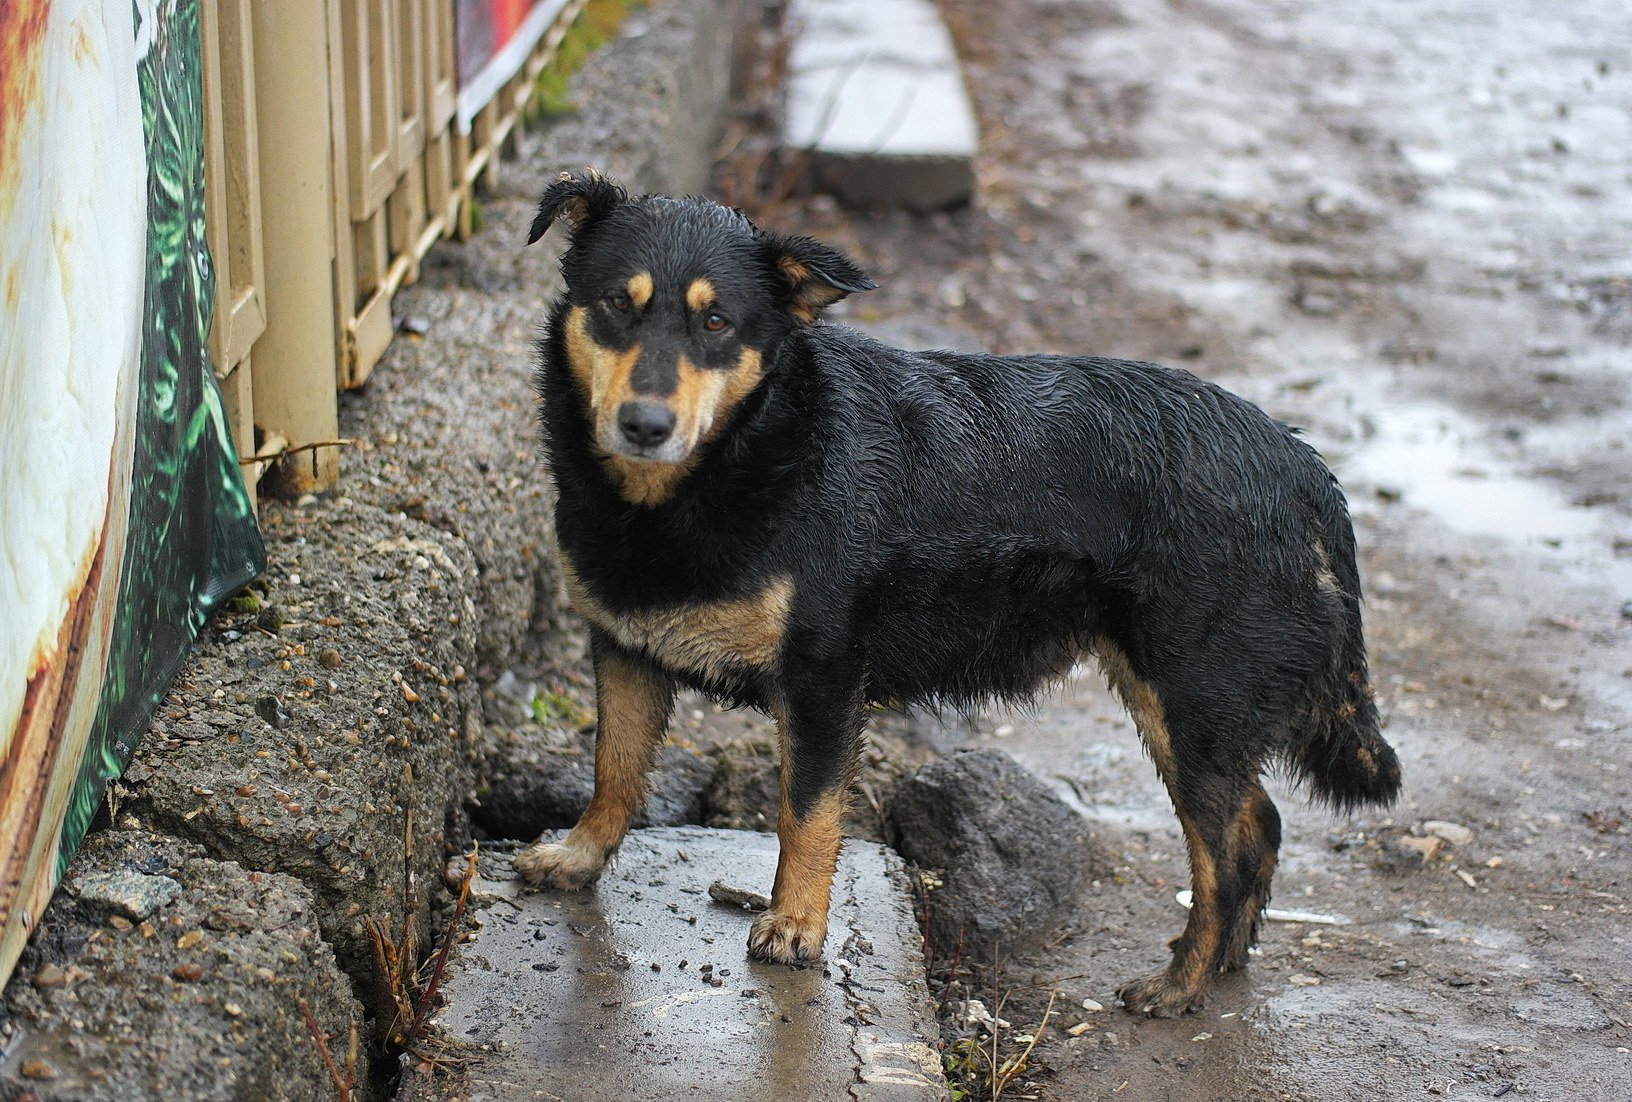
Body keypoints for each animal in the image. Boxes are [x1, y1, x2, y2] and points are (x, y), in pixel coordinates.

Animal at [512, 170, 1403, 1018]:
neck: (741, 454)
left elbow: (806, 814)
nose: (645, 424)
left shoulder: (822, 677)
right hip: (1186, 705)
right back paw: (1226, 960)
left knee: (1222, 856)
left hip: (1194, 702)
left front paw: (795, 923)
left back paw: (1181, 983)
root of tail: (1302, 466)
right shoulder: (623, 645)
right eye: (616, 306)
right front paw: (580, 854)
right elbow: (614, 769)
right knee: (1261, 823)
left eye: (718, 323)